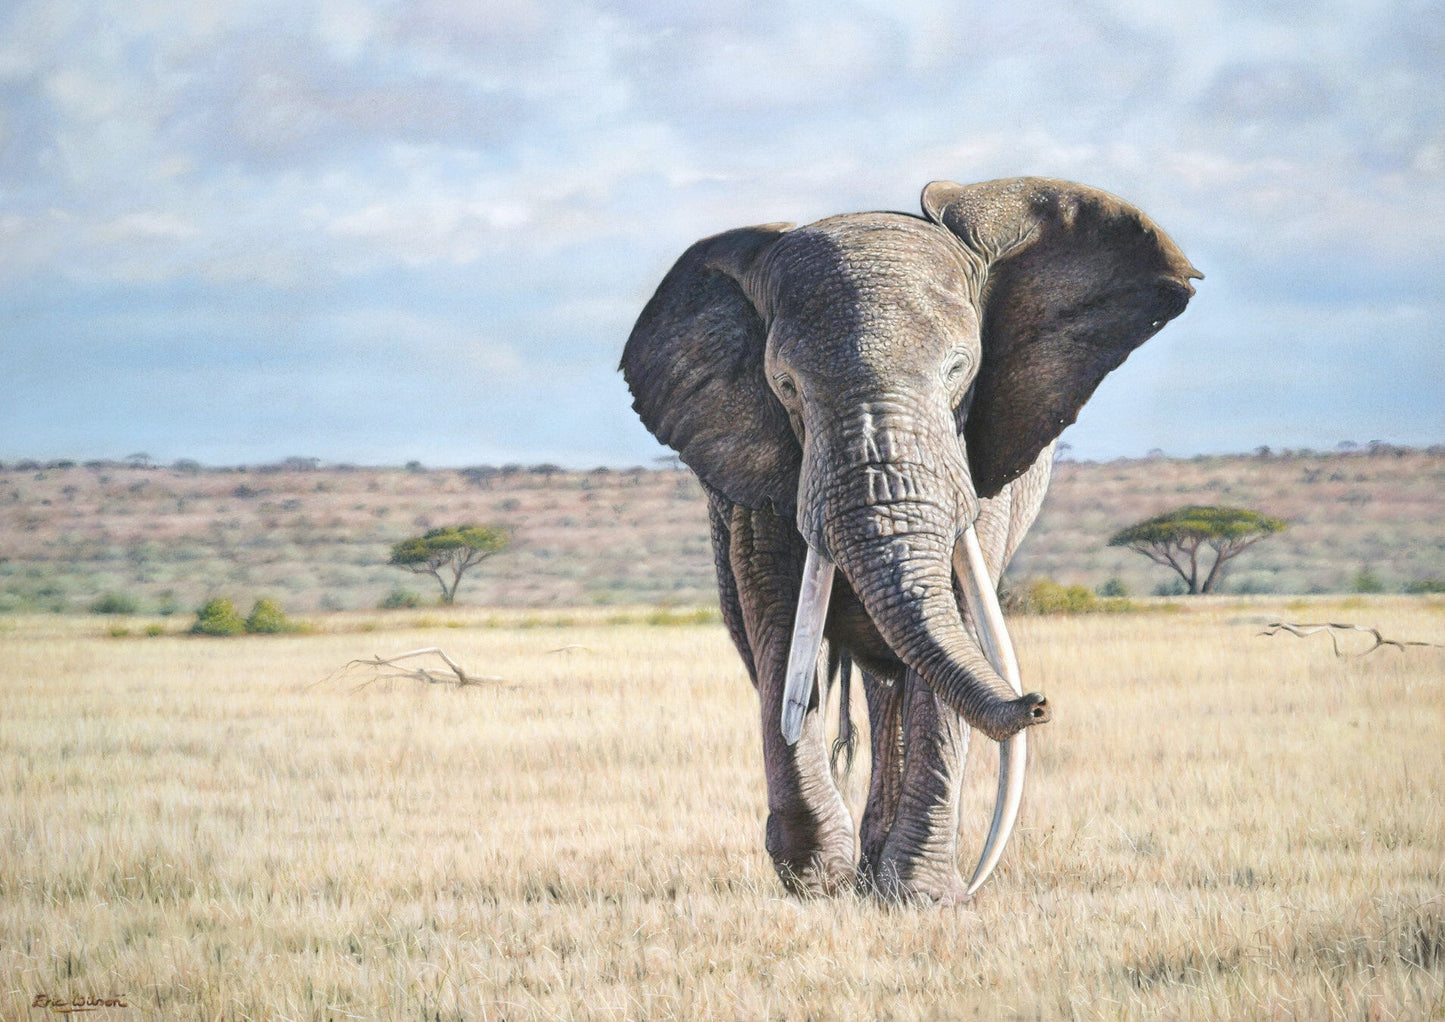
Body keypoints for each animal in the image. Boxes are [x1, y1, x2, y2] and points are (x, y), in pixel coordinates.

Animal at [621, 177, 1199, 903]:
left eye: (960, 369)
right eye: (785, 386)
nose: (1036, 704)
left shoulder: (980, 455)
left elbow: (957, 604)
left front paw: (919, 897)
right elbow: (775, 609)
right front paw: (816, 880)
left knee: (895, 672)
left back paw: (878, 874)